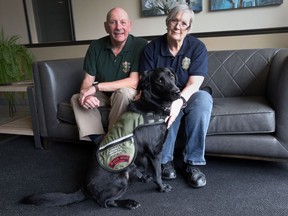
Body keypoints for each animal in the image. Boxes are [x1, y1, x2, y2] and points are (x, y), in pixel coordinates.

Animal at [22, 67, 180, 209]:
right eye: (160, 81)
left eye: (172, 76)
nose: (177, 92)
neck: (152, 104)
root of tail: (84, 187)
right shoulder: (155, 152)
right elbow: (157, 174)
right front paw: (162, 187)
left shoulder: (145, 155)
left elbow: (146, 168)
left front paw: (145, 177)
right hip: (121, 179)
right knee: (105, 202)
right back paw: (129, 203)